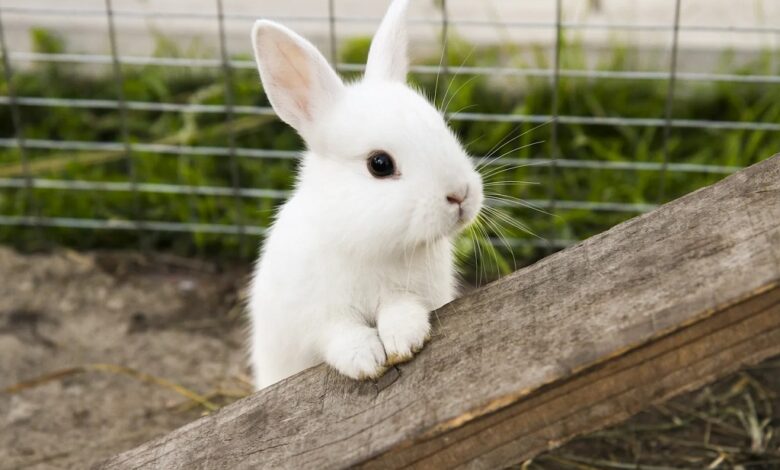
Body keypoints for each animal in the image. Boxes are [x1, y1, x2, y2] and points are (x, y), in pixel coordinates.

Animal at [247, 0, 484, 390]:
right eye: (380, 164)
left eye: (442, 127)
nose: (460, 195)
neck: (369, 244)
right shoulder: (316, 317)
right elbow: (339, 334)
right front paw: (366, 359)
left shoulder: (414, 294)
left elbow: (401, 310)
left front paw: (404, 340)